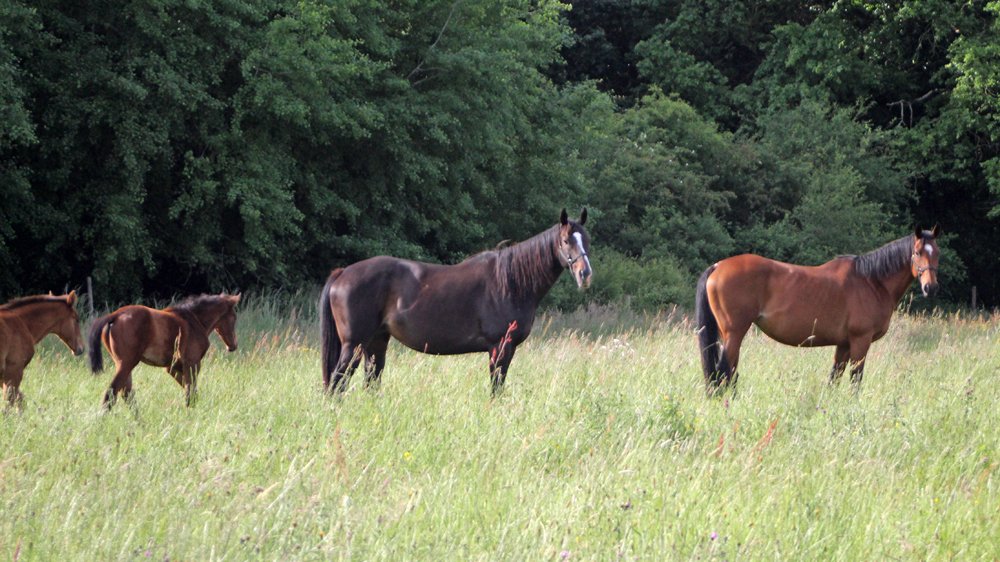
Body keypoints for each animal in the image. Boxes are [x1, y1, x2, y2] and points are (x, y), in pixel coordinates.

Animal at [88, 294, 240, 408]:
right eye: (234, 317)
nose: (233, 346)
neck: (194, 320)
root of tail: (115, 315)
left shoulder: (172, 367)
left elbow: (189, 390)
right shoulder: (192, 363)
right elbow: (190, 392)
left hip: (123, 364)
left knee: (127, 394)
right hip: (127, 363)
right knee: (112, 393)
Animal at [320, 208, 592, 396]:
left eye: (587, 240)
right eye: (566, 241)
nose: (585, 274)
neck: (512, 282)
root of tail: (342, 274)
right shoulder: (500, 347)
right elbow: (496, 388)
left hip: (375, 342)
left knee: (370, 381)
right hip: (354, 344)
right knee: (337, 382)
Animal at [696, 226, 941, 395]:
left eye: (937, 253)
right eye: (917, 252)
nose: (930, 287)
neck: (871, 281)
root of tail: (717, 266)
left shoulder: (844, 344)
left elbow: (834, 378)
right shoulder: (860, 341)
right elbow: (855, 379)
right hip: (735, 333)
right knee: (723, 371)